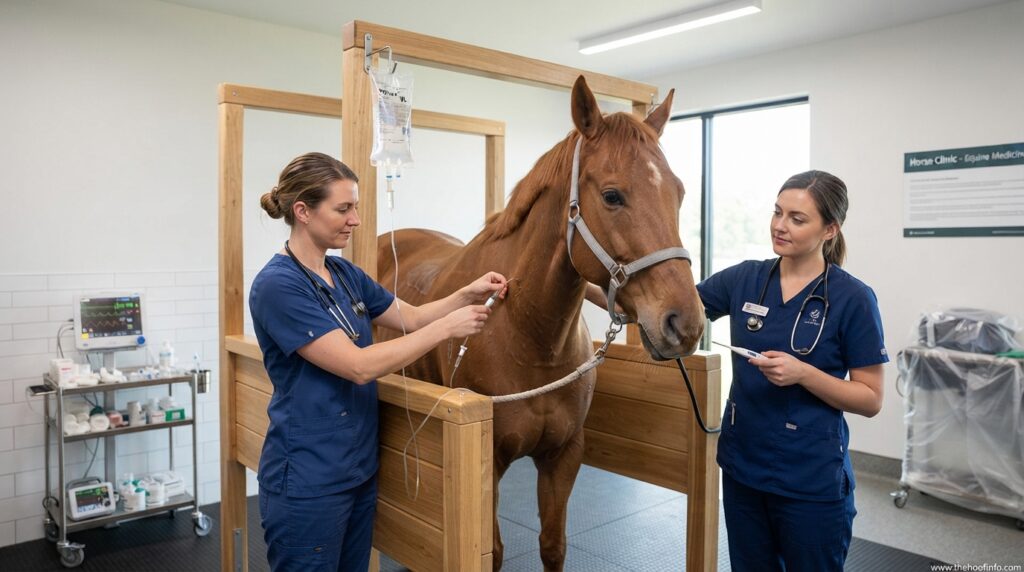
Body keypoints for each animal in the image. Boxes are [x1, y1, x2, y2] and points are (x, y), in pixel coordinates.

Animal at [377, 76, 704, 571]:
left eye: (679, 193)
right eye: (612, 195)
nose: (684, 323)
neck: (530, 337)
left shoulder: (563, 455)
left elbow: (553, 544)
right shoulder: (489, 461)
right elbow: (492, 553)